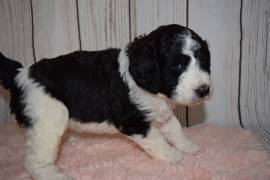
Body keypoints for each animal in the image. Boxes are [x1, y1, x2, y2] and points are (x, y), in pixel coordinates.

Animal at [0, 24, 211, 180]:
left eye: (204, 62)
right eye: (177, 66)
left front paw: (189, 147)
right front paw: (173, 155)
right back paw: (54, 176)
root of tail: (19, 74)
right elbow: (157, 139)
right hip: (48, 117)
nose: (204, 90)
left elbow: (175, 129)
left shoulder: (161, 112)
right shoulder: (133, 122)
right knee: (34, 160)